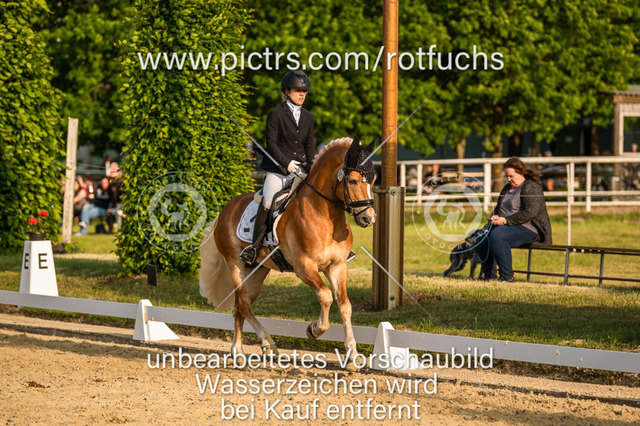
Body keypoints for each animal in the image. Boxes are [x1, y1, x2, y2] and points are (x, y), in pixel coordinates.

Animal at [199, 136, 376, 358]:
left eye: (373, 180)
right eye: (352, 180)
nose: (368, 219)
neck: (324, 215)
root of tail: (225, 209)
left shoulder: (337, 266)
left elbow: (345, 305)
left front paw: (352, 352)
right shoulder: (304, 267)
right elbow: (325, 296)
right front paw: (314, 329)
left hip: (257, 270)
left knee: (242, 305)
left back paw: (244, 348)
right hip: (235, 264)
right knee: (242, 303)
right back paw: (255, 345)